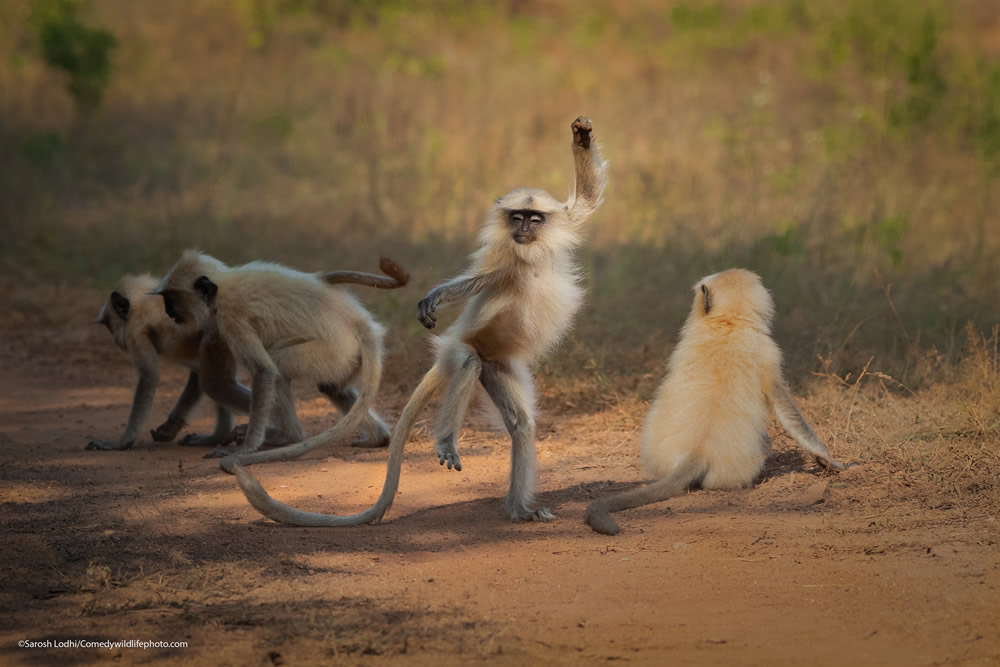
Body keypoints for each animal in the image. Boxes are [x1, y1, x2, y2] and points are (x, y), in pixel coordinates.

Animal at [156, 253, 406, 468]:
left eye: (171, 300)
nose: (169, 313)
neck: (223, 284)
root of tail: (358, 322)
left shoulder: (230, 317)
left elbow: (264, 371)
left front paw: (244, 450)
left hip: (330, 350)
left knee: (278, 367)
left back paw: (288, 437)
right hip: (347, 356)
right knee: (331, 387)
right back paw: (378, 438)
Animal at [232, 116, 608, 528]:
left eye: (534, 219)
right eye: (517, 217)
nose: (523, 228)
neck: (530, 251)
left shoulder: (556, 227)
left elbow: (587, 201)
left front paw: (582, 136)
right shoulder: (503, 258)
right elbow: (473, 282)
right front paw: (437, 296)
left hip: (499, 365)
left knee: (522, 426)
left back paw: (519, 511)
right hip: (464, 348)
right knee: (467, 363)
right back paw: (448, 442)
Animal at [584, 268, 848, 536]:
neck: (728, 323)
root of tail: (696, 452)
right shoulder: (769, 353)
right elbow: (789, 412)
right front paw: (829, 460)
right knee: (764, 442)